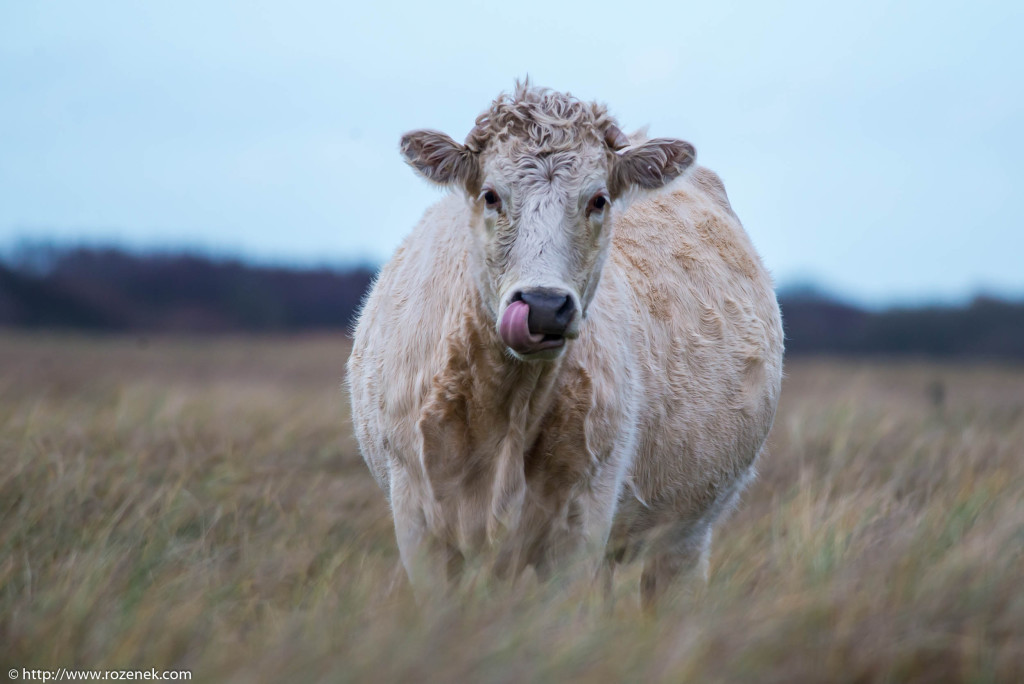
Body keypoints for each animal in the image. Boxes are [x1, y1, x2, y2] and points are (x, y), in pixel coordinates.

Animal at [346, 81, 782, 610]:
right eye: (490, 195)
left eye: (598, 199)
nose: (542, 305)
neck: (506, 407)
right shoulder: (419, 523)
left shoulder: (578, 527)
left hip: (686, 533)